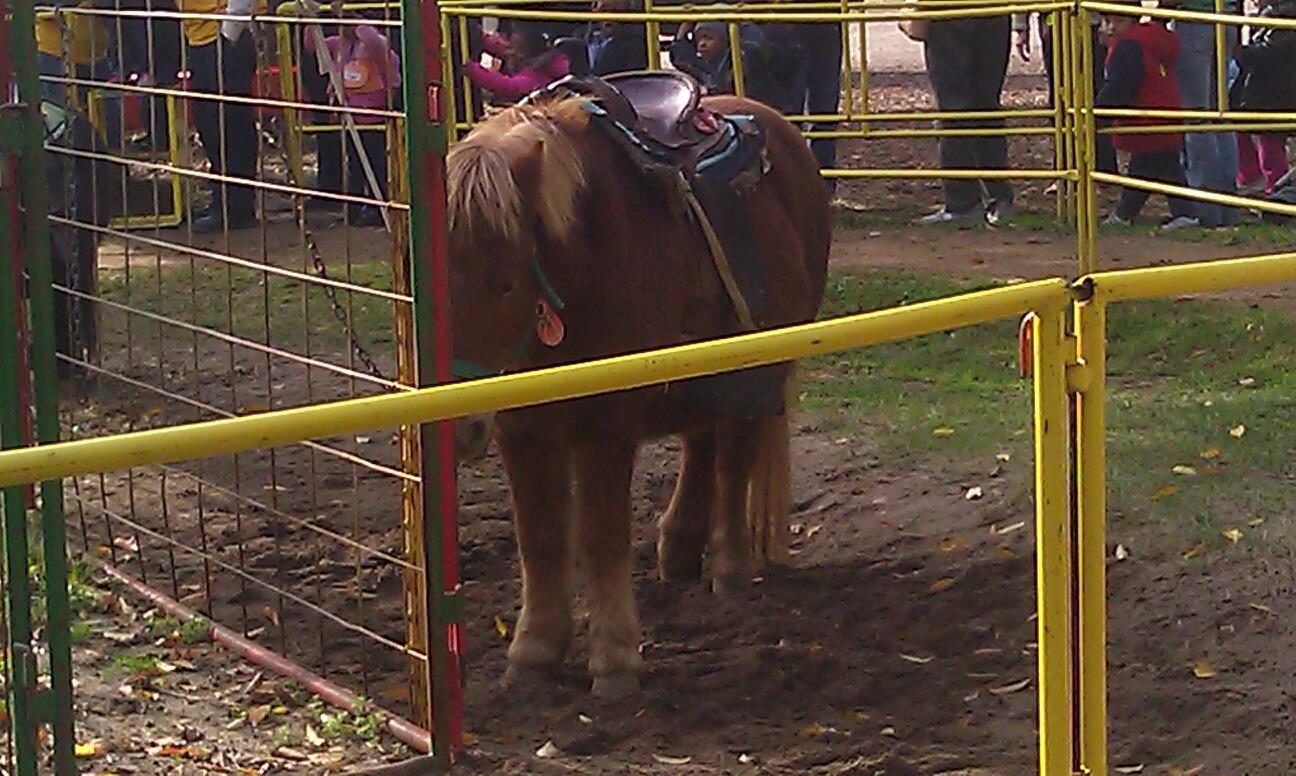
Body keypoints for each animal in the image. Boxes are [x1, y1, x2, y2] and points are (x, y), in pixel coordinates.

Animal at [445, 91, 829, 699]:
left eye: (504, 283)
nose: (460, 428)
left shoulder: (607, 425)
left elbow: (601, 535)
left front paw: (614, 657)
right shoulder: (522, 428)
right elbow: (539, 539)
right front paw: (534, 652)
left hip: (755, 369)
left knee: (733, 461)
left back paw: (730, 567)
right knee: (703, 446)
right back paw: (679, 548)